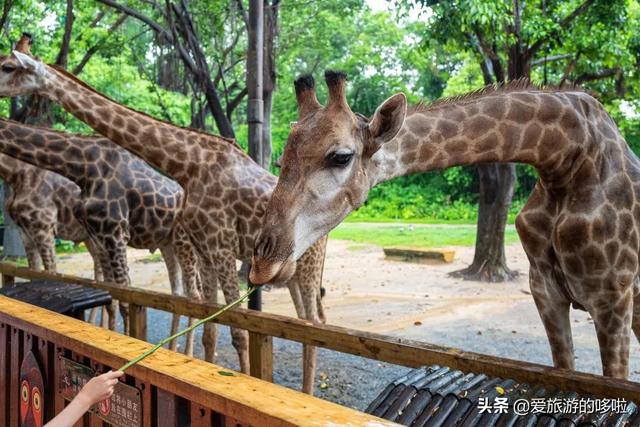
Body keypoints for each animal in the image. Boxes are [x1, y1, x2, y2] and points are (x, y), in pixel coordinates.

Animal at [0, 150, 101, 278]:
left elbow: (50, 270)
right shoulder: (24, 231)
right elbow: (33, 271)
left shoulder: (44, 229)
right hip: (89, 237)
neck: (15, 176)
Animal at [249, 71, 640, 382]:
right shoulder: (545, 291)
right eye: (281, 162)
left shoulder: (611, 296)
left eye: (341, 157)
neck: (564, 159)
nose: (263, 263)